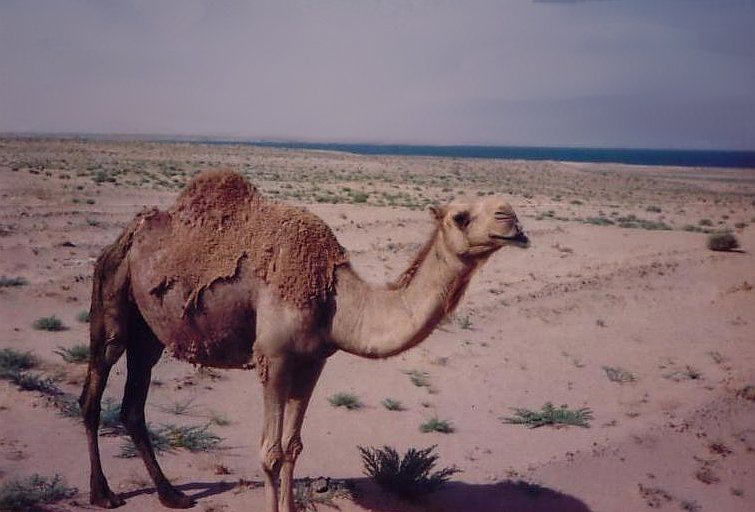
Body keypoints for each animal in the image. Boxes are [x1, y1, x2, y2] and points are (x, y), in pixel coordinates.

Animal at [75, 171, 524, 512]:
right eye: (461, 216)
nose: (513, 221)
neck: (334, 298)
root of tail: (126, 236)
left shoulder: (313, 361)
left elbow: (292, 447)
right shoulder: (273, 358)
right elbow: (270, 452)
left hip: (150, 332)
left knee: (134, 404)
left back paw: (172, 495)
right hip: (111, 297)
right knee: (95, 388)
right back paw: (104, 494)